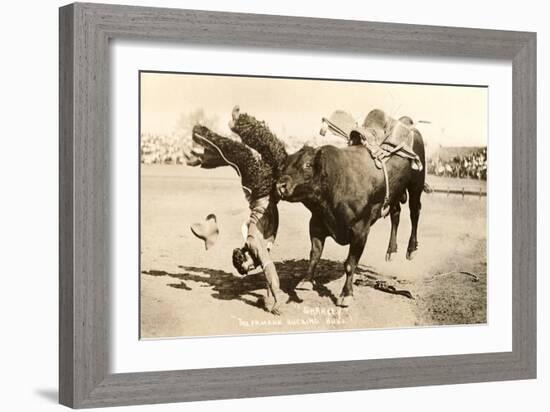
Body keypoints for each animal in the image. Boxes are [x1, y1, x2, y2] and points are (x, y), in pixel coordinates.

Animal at [185, 106, 426, 312]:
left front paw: (346, 295)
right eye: (284, 165)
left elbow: (350, 264)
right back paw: (391, 251)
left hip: (416, 185)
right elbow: (314, 254)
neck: (334, 185)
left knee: (414, 213)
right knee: (396, 213)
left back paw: (411, 249)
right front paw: (306, 281)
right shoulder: (317, 223)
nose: (280, 185)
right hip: (395, 193)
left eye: (307, 165)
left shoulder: (361, 230)